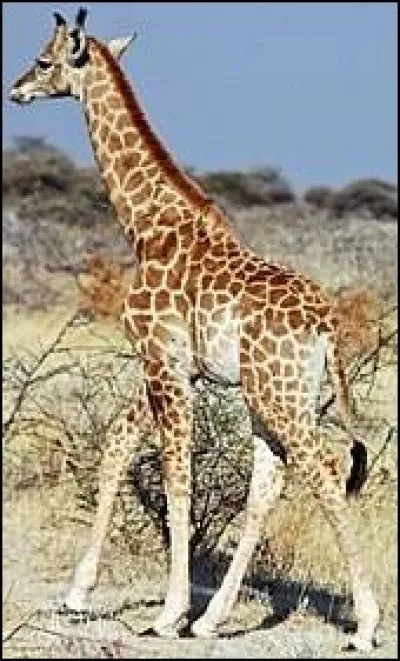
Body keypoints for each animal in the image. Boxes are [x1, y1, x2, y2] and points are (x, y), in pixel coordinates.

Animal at [10, 8, 379, 650]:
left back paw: (364, 625)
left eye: (44, 60)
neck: (146, 225)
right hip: (273, 398)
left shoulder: (163, 362)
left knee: (326, 473)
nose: (17, 89)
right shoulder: (167, 364)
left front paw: (168, 613)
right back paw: (214, 619)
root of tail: (327, 324)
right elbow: (117, 444)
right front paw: (79, 594)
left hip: (280, 398)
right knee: (267, 486)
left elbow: (176, 477)